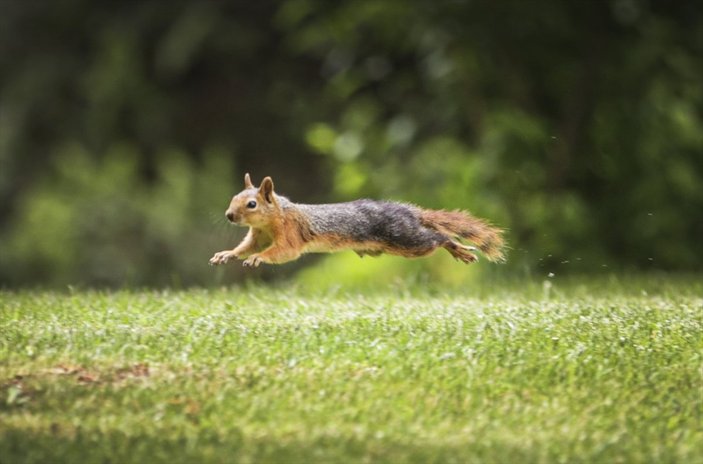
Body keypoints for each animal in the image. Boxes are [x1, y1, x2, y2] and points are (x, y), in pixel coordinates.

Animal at [209, 173, 506, 268]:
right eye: (234, 196)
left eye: (252, 204)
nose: (229, 216)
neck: (271, 220)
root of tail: (410, 212)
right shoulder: (257, 236)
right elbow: (244, 247)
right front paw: (226, 254)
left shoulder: (290, 232)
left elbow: (283, 252)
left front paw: (258, 259)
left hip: (407, 240)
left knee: (439, 238)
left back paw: (459, 250)